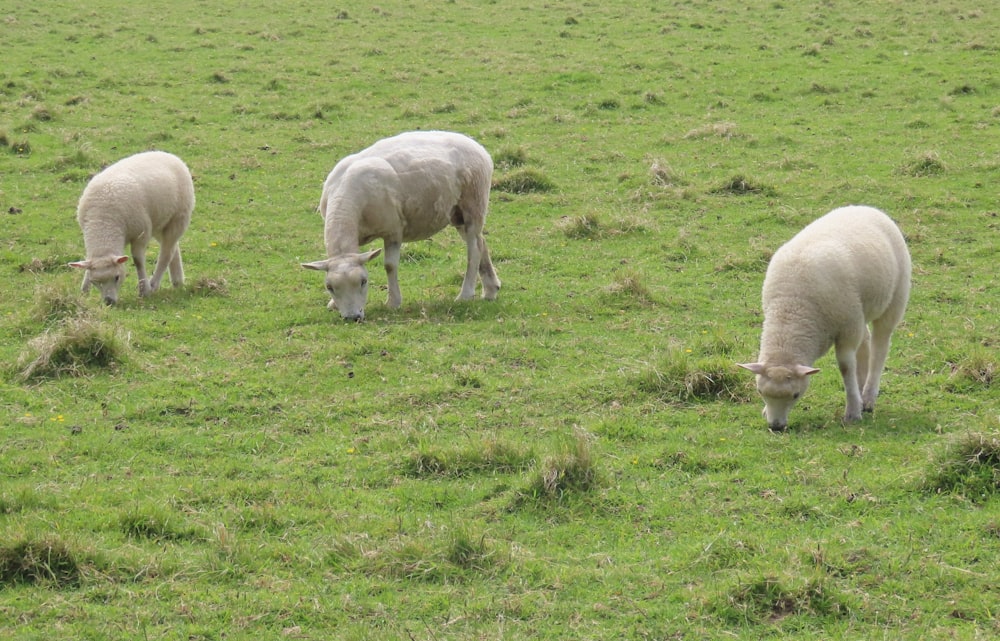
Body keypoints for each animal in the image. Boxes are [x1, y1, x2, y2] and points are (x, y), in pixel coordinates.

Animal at [69, 150, 194, 304]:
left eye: (117, 277)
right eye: (95, 282)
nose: (108, 301)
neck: (103, 221)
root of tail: (166, 154)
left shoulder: (141, 233)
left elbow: (138, 261)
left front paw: (144, 290)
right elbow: (88, 263)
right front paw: (84, 291)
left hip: (179, 217)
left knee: (166, 253)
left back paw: (154, 283)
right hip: (159, 222)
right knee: (172, 247)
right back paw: (177, 281)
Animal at [296, 130, 500, 320]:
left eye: (363, 281)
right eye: (329, 287)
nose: (352, 317)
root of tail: (478, 147)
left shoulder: (393, 229)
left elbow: (390, 266)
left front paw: (393, 302)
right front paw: (333, 304)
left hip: (474, 202)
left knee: (474, 249)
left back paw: (465, 294)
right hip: (456, 214)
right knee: (481, 242)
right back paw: (491, 289)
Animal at [740, 205, 912, 430]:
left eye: (796, 395)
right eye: (760, 392)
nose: (776, 427)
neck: (792, 308)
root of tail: (865, 207)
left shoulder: (847, 329)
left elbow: (846, 367)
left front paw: (852, 412)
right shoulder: (851, 321)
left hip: (893, 300)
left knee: (880, 347)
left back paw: (868, 397)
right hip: (860, 311)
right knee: (865, 341)